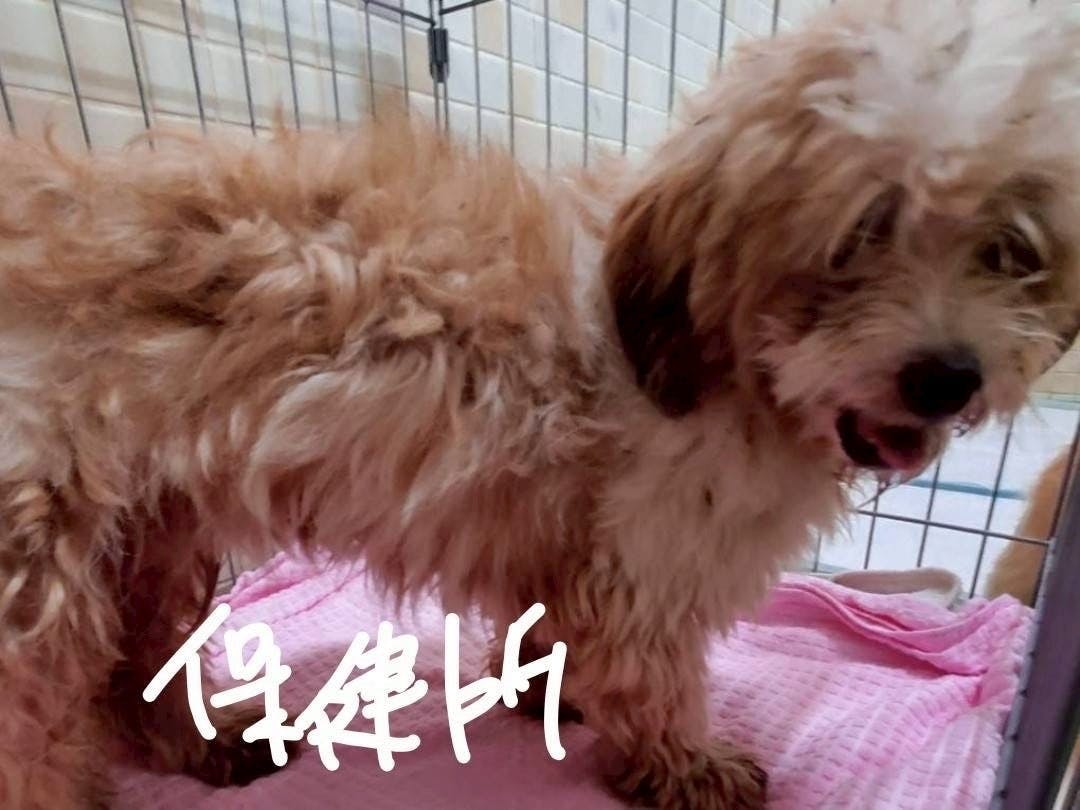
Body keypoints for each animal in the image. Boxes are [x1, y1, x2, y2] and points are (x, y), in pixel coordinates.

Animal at [2, 1, 1079, 808]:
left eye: (1011, 250)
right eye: (860, 235)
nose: (949, 375)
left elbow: (557, 628)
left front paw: (547, 696)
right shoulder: (652, 553)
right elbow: (650, 673)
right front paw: (686, 764)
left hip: (153, 534)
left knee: (132, 669)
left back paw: (211, 741)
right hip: (36, 571)